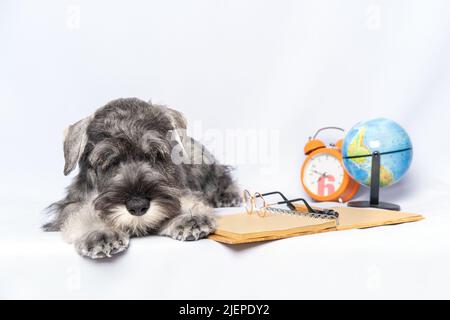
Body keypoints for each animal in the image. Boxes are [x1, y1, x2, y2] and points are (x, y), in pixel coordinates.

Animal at [44, 97, 243, 258]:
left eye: (155, 155)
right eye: (109, 161)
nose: (138, 206)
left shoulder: (180, 189)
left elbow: (184, 200)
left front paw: (189, 217)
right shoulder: (72, 204)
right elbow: (82, 213)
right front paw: (100, 232)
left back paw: (229, 196)